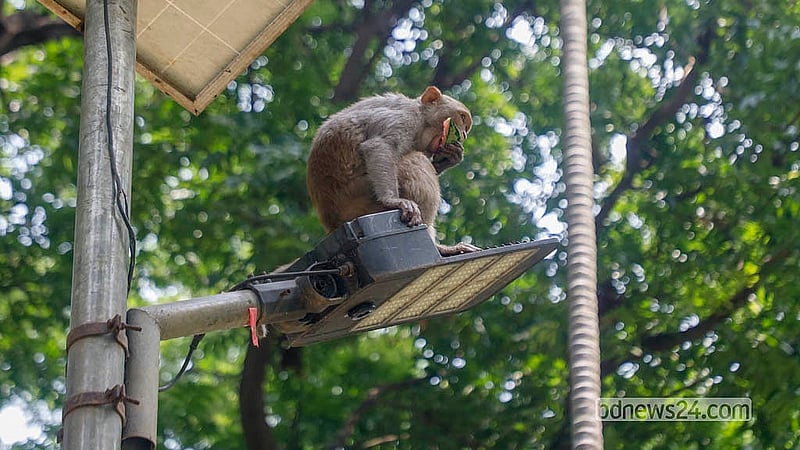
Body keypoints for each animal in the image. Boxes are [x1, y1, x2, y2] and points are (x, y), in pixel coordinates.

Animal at [306, 86, 480, 256]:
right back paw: (438, 247)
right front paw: (392, 200)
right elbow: (378, 146)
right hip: (356, 199)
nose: (464, 134)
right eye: (462, 117)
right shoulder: (405, 119)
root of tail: (331, 222)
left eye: (466, 127)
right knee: (414, 160)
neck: (421, 118)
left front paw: (450, 157)